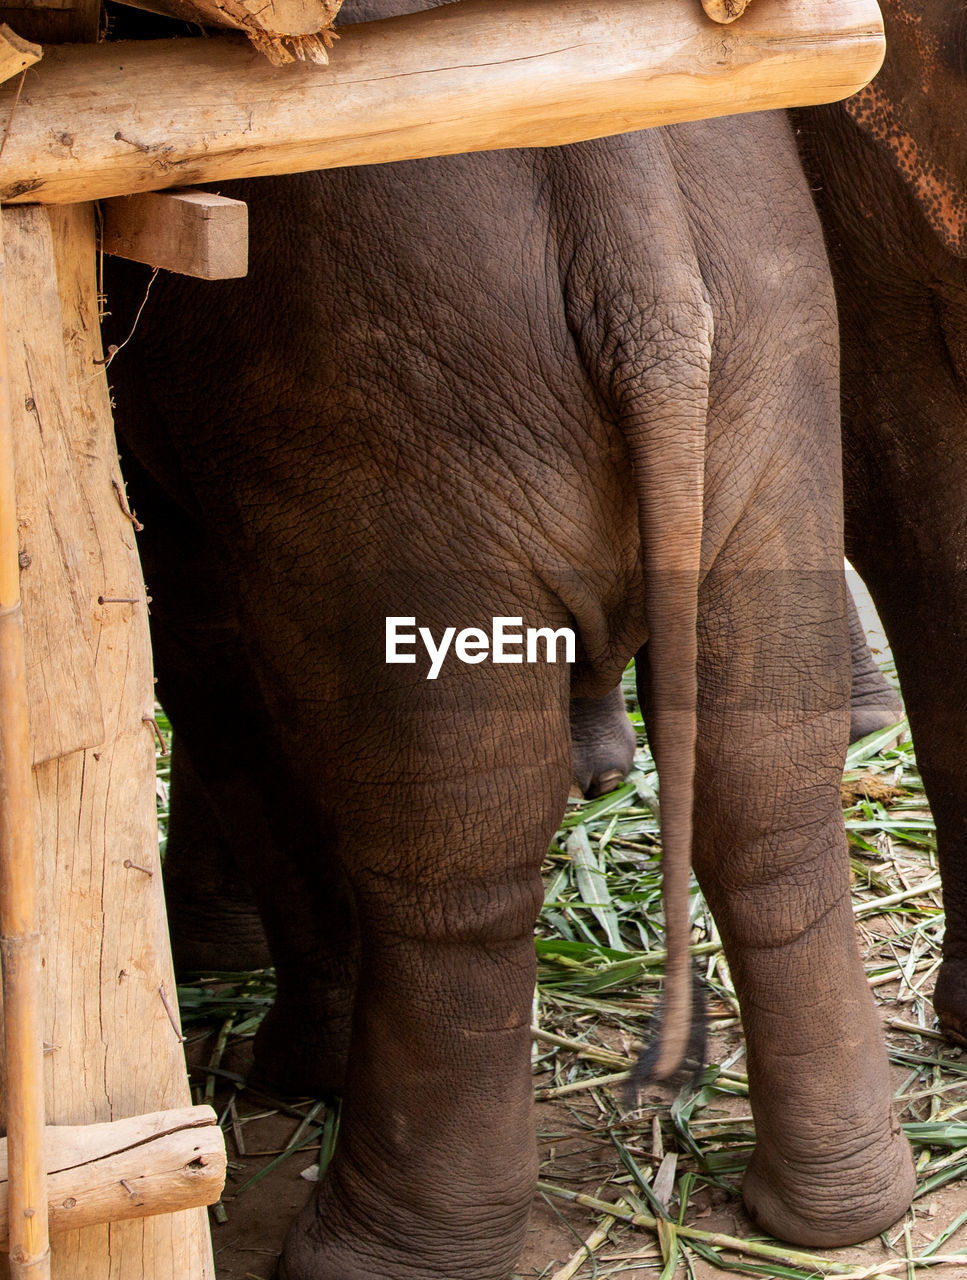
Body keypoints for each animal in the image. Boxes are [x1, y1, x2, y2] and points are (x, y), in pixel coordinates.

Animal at [101, 2, 917, 1269]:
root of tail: (618, 183)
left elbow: (210, 665)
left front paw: (274, 1040)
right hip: (770, 376)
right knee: (767, 780)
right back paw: (835, 1210)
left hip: (395, 433)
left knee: (454, 840)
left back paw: (365, 1244)